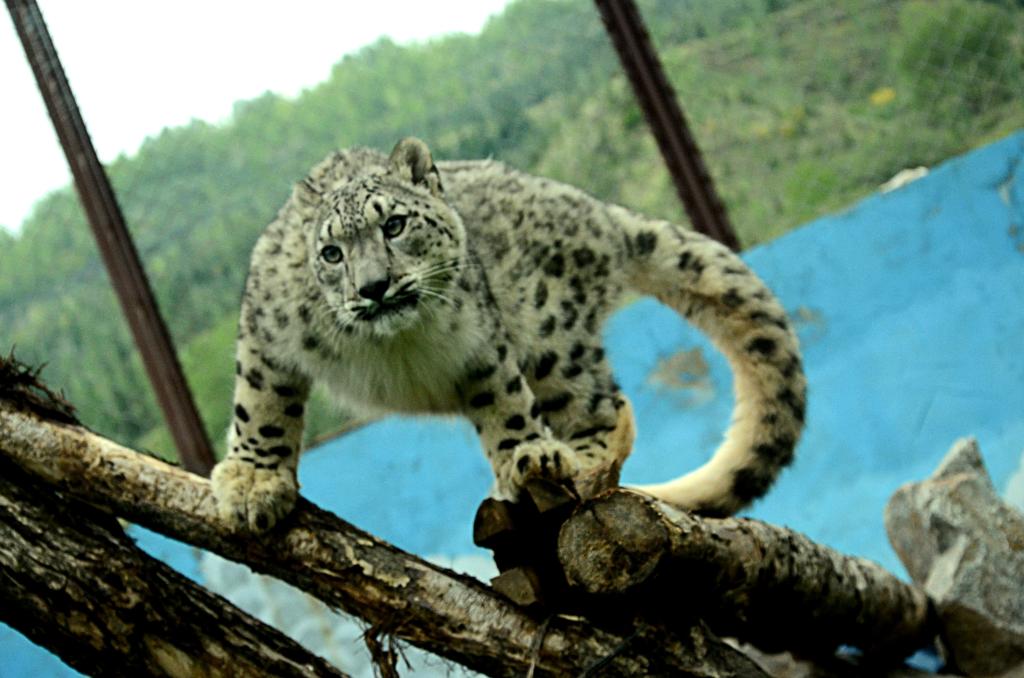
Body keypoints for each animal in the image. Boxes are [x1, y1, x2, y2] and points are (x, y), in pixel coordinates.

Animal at [210, 137, 806, 532]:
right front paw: (252, 482)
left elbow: (505, 401)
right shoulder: (267, 334)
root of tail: (599, 212)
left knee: (606, 407)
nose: (373, 287)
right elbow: (261, 406)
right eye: (331, 253)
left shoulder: (481, 343)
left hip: (550, 334)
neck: (391, 344)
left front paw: (527, 455)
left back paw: (570, 462)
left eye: (394, 225)